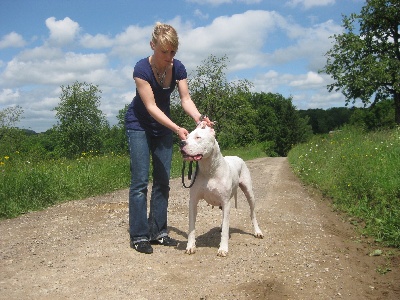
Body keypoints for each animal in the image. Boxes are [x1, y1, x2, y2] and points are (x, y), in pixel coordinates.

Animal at [180, 122, 264, 255]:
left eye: (198, 137)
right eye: (186, 137)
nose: (181, 143)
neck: (209, 169)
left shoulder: (226, 201)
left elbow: (225, 228)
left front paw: (223, 248)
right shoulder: (193, 201)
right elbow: (191, 226)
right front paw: (190, 246)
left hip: (249, 193)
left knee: (252, 213)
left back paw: (257, 231)